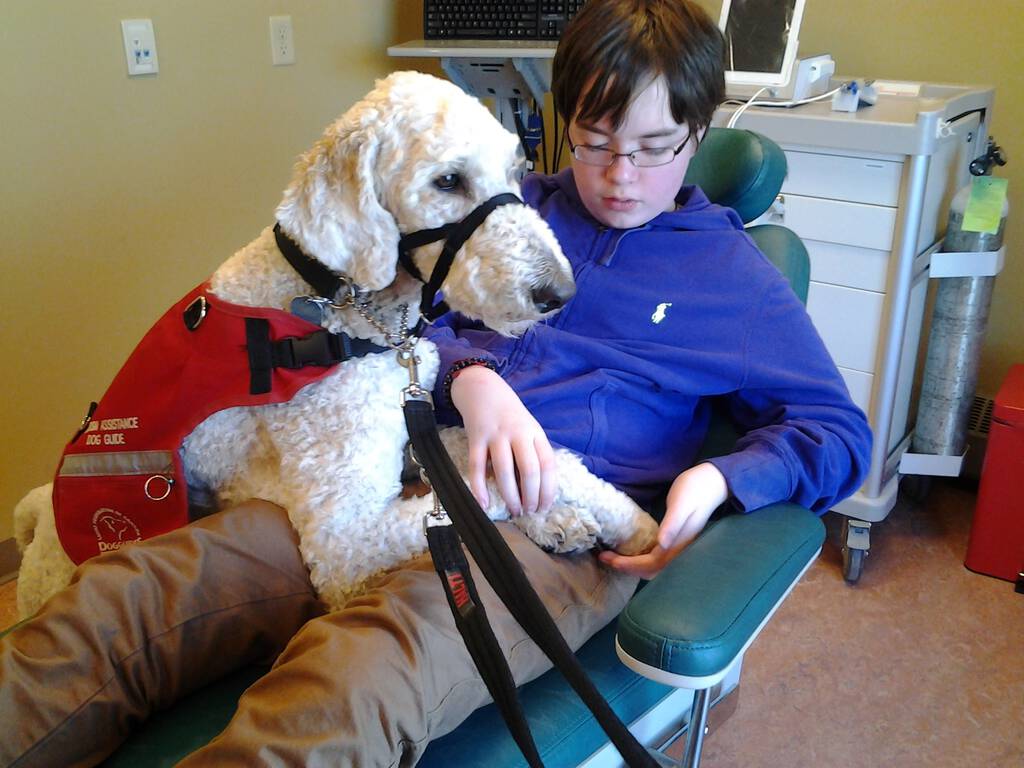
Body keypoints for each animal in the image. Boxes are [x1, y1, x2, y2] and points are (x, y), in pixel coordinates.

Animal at [12, 70, 659, 618]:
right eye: (448, 180)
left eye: (516, 172)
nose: (560, 293)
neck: (338, 307)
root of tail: (39, 517)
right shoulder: (343, 539)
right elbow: (478, 496)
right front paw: (549, 513)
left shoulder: (415, 428)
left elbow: (542, 460)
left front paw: (626, 520)